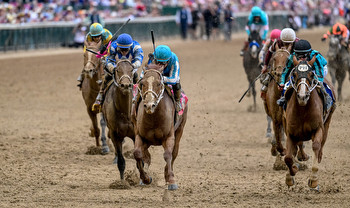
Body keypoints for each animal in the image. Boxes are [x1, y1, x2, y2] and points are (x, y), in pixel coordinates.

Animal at [282, 56, 336, 189]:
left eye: (311, 74)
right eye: (294, 74)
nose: (302, 96)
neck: (303, 109)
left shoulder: (318, 128)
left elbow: (316, 145)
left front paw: (313, 179)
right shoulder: (290, 132)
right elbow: (288, 157)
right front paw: (291, 174)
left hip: (328, 119)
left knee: (322, 143)